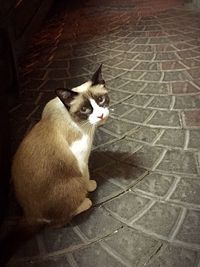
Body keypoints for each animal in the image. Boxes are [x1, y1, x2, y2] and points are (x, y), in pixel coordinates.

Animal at [11, 64, 109, 228]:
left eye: (101, 100)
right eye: (84, 109)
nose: (101, 115)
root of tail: (29, 214)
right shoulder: (81, 162)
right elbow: (86, 177)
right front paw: (89, 186)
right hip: (71, 184)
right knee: (58, 220)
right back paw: (85, 202)